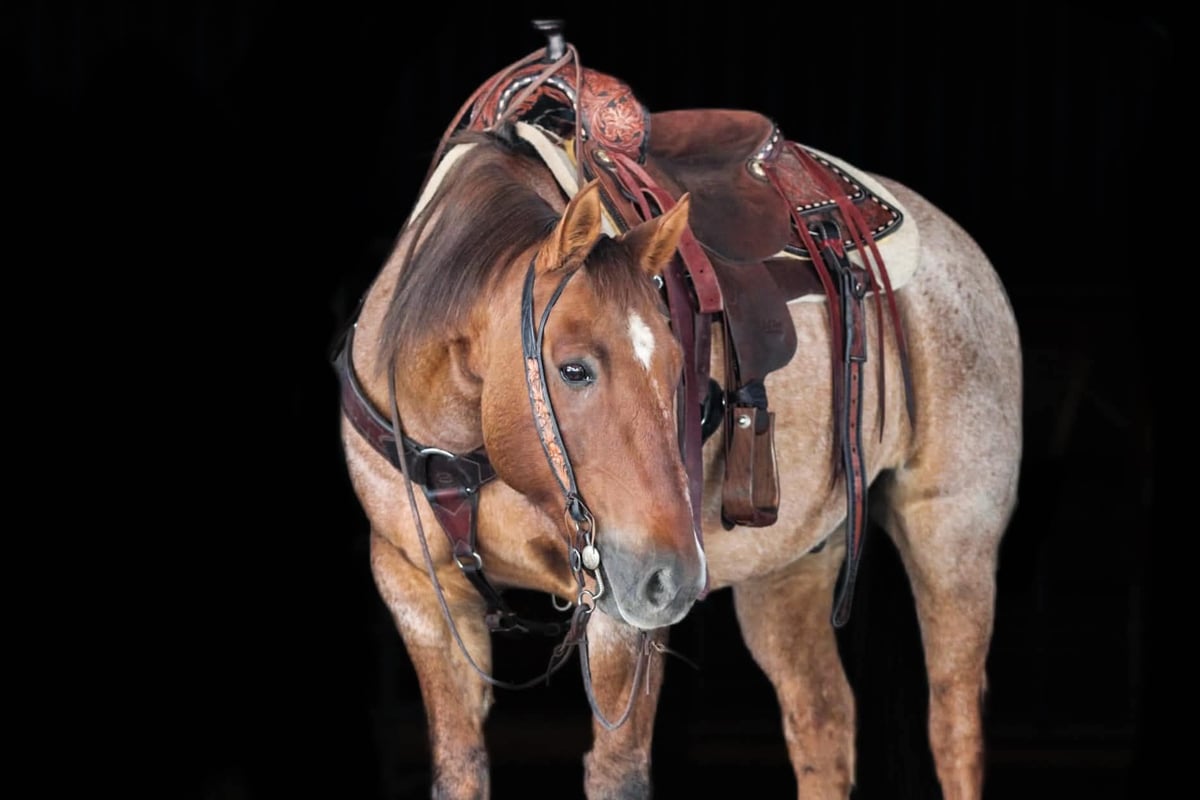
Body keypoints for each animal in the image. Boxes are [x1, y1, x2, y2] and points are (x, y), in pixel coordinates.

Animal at [334, 25, 1022, 800]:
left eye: (677, 365)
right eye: (573, 368)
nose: (676, 580)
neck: (466, 446)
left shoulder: (617, 601)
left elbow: (617, 771)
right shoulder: (419, 591)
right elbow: (459, 767)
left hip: (953, 531)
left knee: (953, 725)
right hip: (789, 566)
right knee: (822, 720)